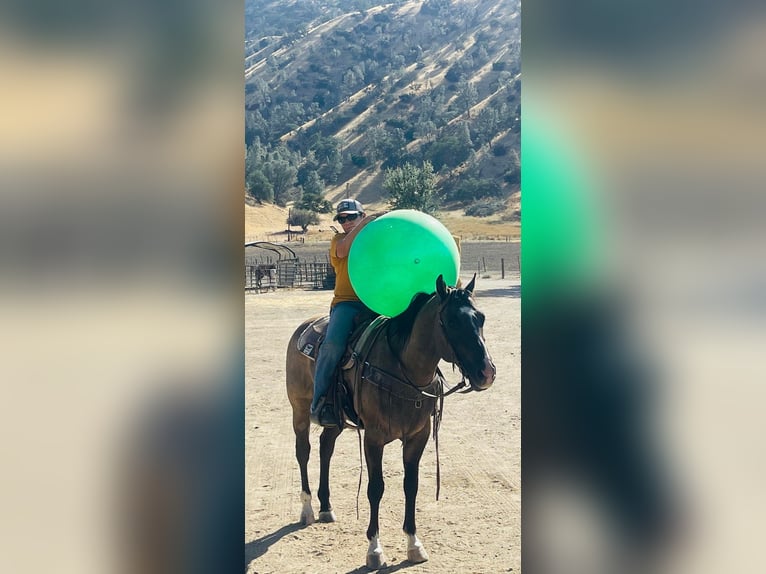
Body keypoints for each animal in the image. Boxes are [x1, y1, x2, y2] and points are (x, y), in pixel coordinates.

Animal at [284, 274, 496, 572]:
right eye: (452, 322)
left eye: (481, 318)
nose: (487, 372)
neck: (404, 371)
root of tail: (304, 327)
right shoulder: (374, 438)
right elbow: (376, 489)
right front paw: (374, 549)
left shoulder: (418, 437)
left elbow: (411, 486)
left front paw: (414, 544)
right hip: (300, 411)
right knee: (304, 452)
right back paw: (308, 509)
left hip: (335, 419)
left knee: (326, 448)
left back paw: (326, 506)